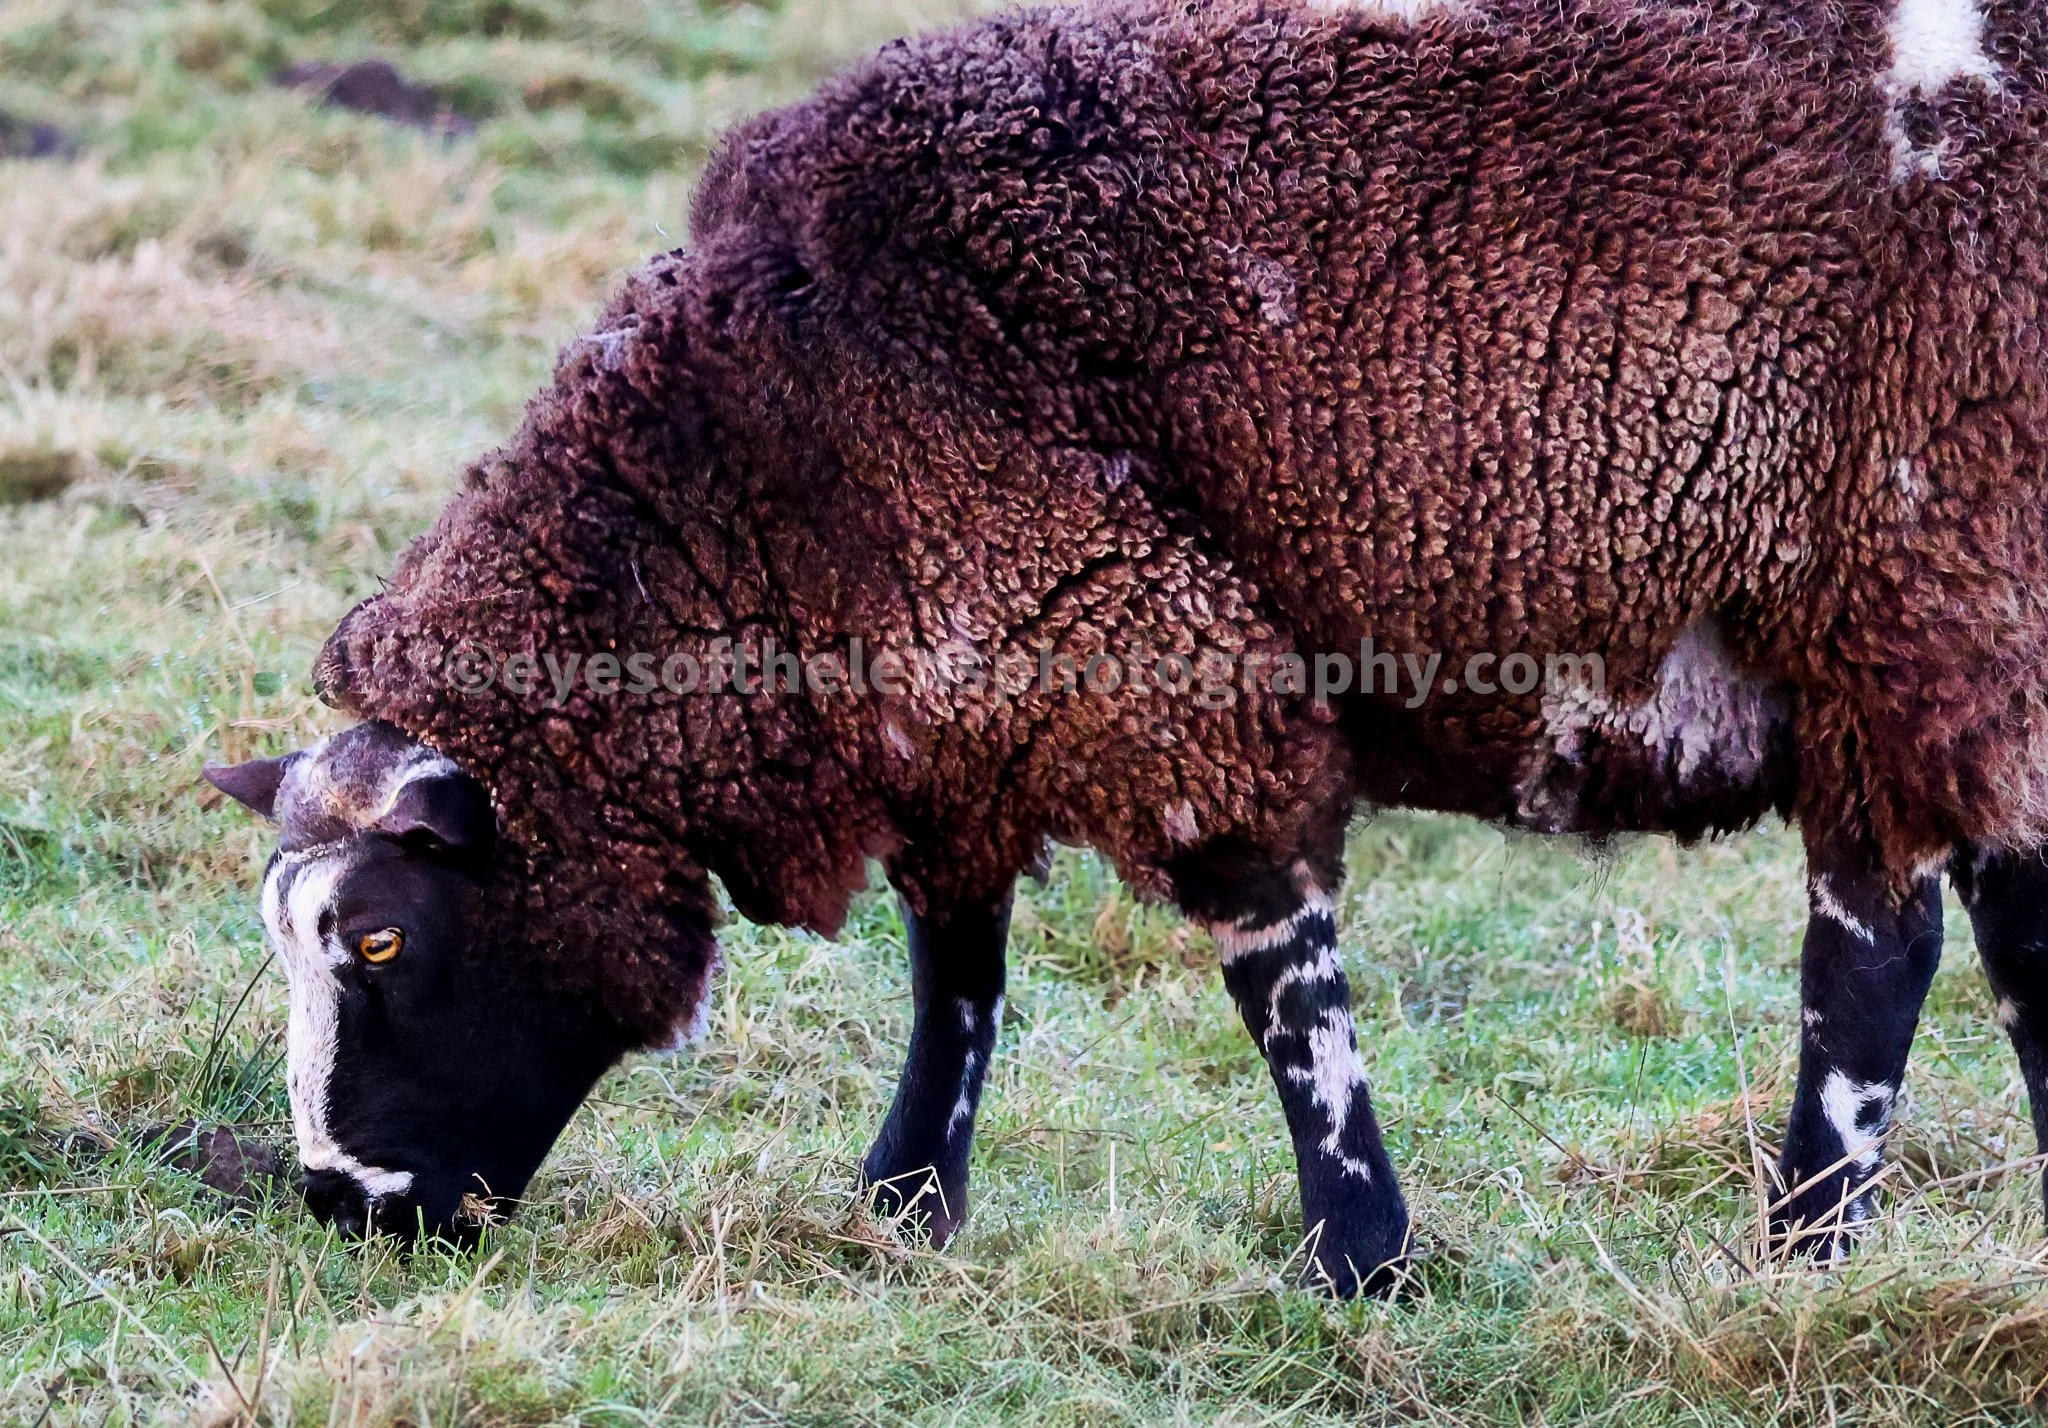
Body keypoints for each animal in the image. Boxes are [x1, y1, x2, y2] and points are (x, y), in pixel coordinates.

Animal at [203, 0, 2048, 1293]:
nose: (342, 1206)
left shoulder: (1142, 657)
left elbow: (1278, 976)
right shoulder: (962, 690)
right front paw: (902, 1209)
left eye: (378, 938)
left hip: (1905, 592)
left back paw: (1800, 1253)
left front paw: (1361, 1259)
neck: (758, 466)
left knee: (1875, 957)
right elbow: (955, 959)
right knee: (1995, 937)